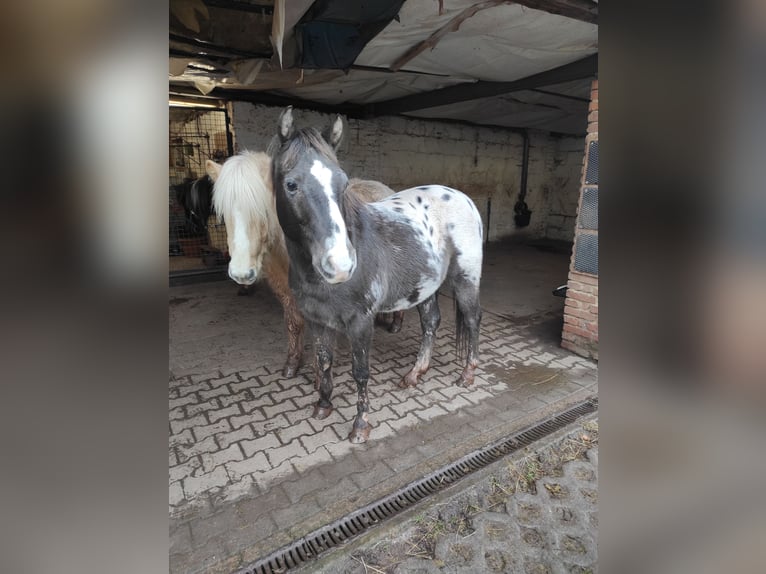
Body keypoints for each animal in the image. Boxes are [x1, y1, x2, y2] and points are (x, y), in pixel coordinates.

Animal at [207, 151, 404, 380]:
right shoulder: (285, 291)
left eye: (262, 211)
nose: (241, 273)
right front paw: (292, 363)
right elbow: (293, 323)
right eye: (223, 214)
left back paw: (396, 323)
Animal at [272, 107, 484, 440]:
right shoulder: (318, 320)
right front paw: (323, 405)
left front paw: (360, 426)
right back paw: (415, 374)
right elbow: (324, 361)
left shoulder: (361, 322)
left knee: (473, 320)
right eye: (291, 185)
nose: (341, 265)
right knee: (431, 323)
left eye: (343, 183)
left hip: (466, 280)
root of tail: (463, 198)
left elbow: (361, 372)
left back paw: (468, 374)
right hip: (426, 286)